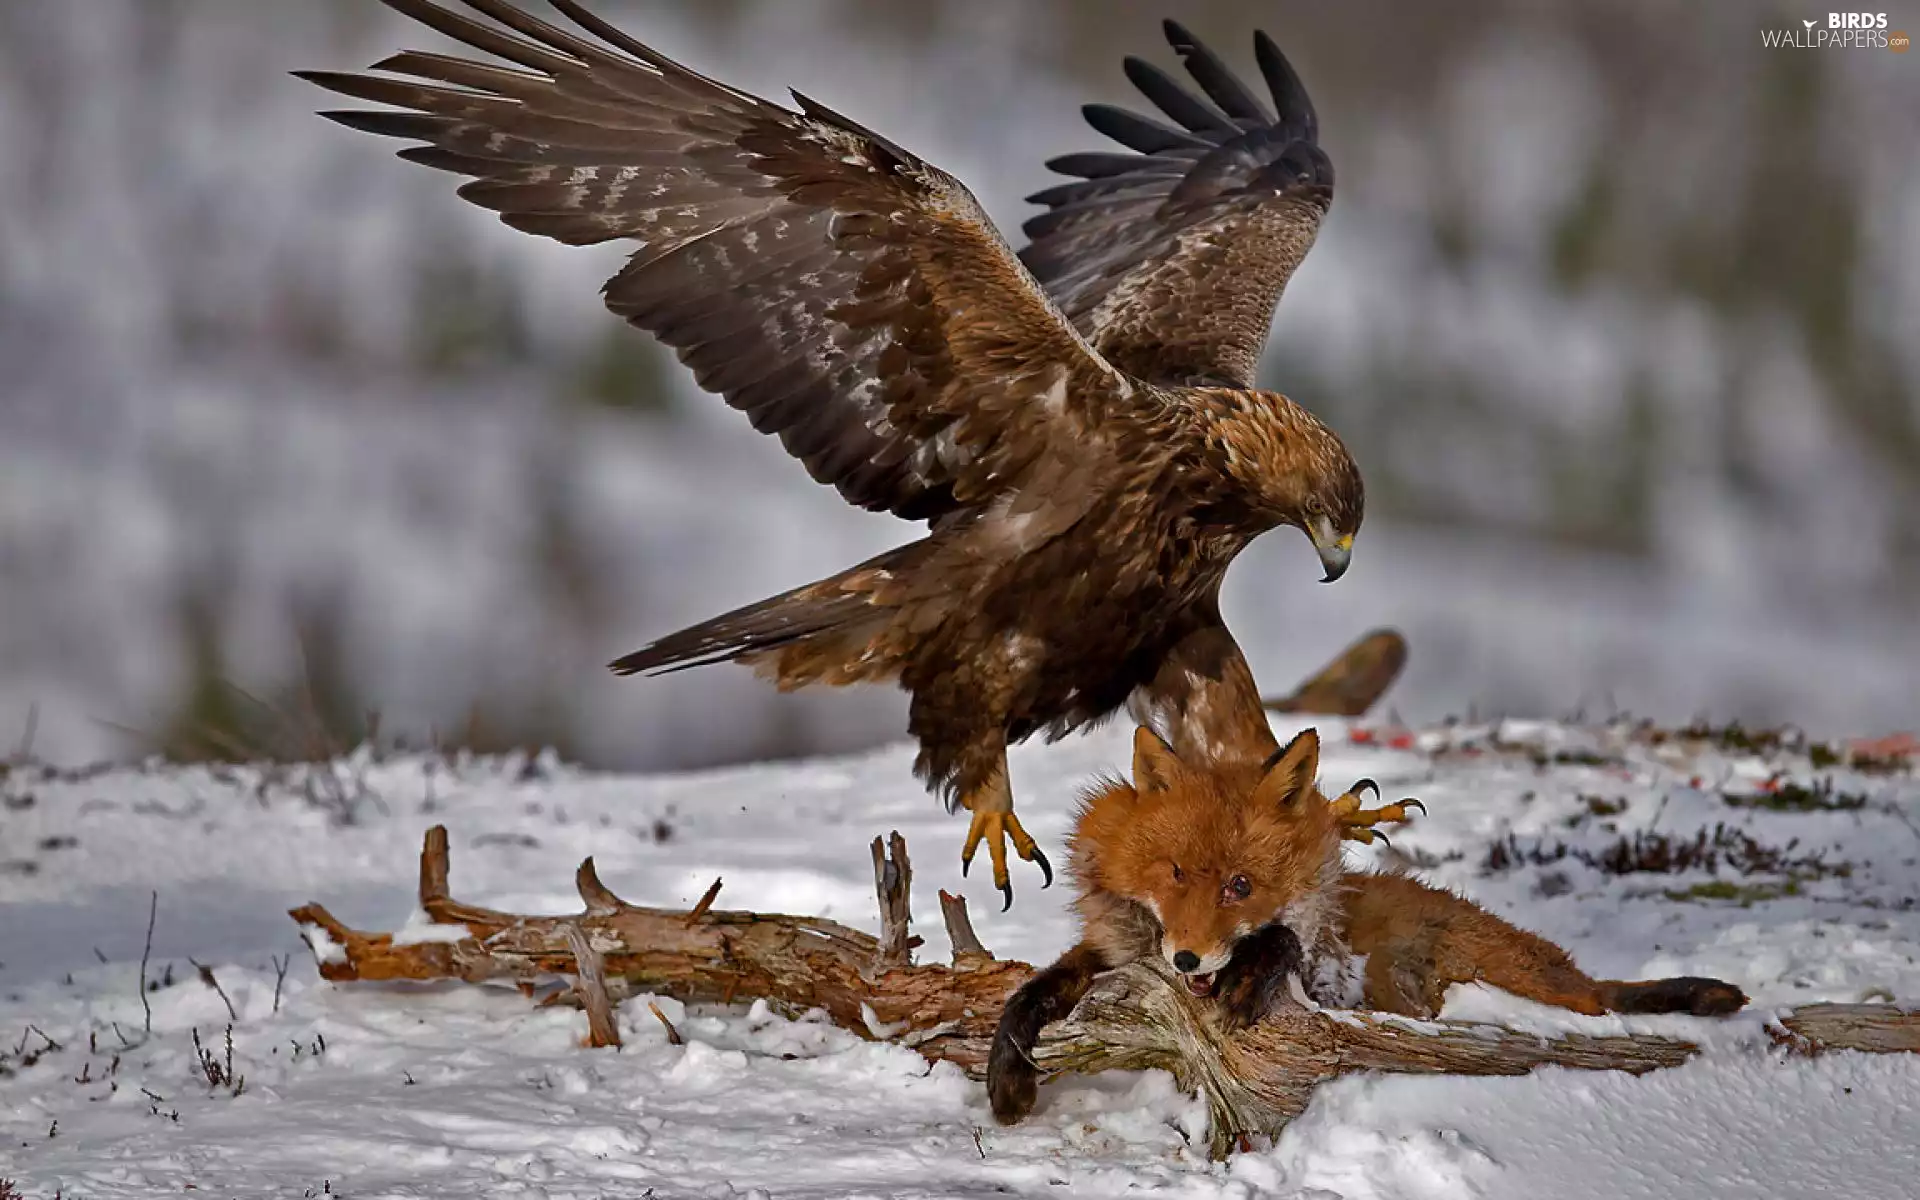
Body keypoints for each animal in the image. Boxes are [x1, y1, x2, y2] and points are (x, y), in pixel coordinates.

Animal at [988, 724, 1749, 1124]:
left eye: (1241, 886)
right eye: (1174, 874)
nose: (1187, 961)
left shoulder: (1328, 966)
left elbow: (1284, 939)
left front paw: (1249, 976)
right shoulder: (1110, 955)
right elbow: (1032, 993)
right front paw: (1006, 1077)